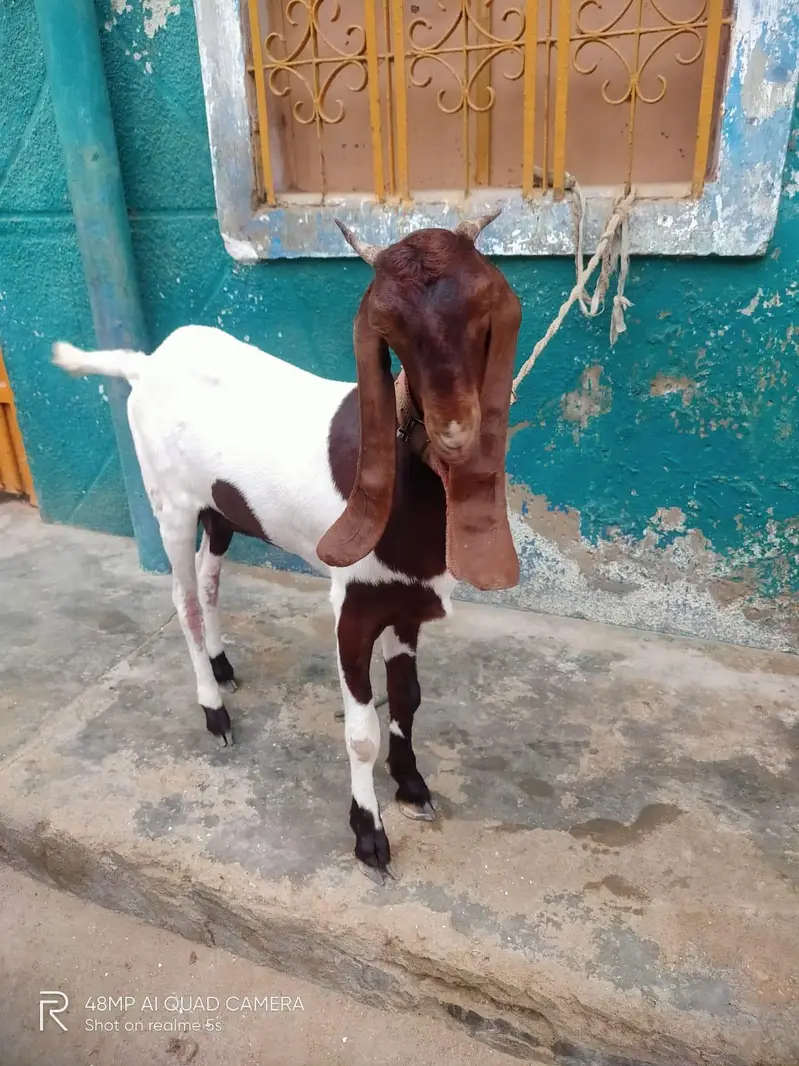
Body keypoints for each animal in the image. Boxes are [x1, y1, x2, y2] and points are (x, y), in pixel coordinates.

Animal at [51, 213, 523, 884]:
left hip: (222, 508)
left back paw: (223, 665)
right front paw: (369, 836)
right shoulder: (353, 604)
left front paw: (412, 787)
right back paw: (214, 710)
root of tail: (146, 364)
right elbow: (362, 728)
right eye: (390, 331)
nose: (455, 433)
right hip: (170, 504)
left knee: (210, 575)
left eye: (483, 310)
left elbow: (407, 697)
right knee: (183, 595)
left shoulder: (406, 600)